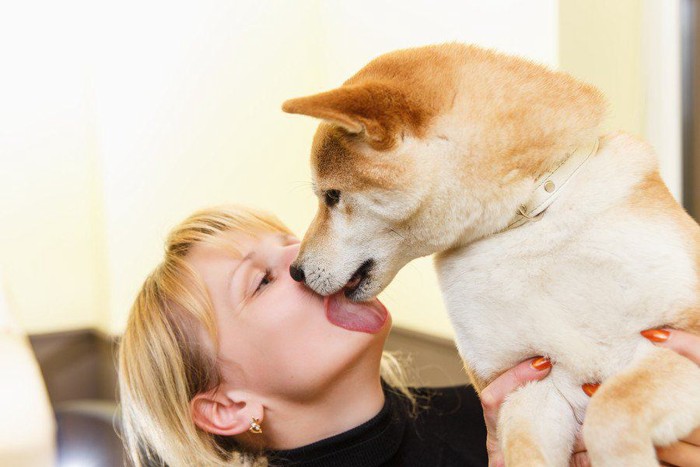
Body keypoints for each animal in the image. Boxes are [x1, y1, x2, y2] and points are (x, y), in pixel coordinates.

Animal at [280, 43, 700, 464]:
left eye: (332, 196)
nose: (295, 271)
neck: (525, 226)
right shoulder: (529, 387)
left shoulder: (679, 335)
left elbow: (611, 408)